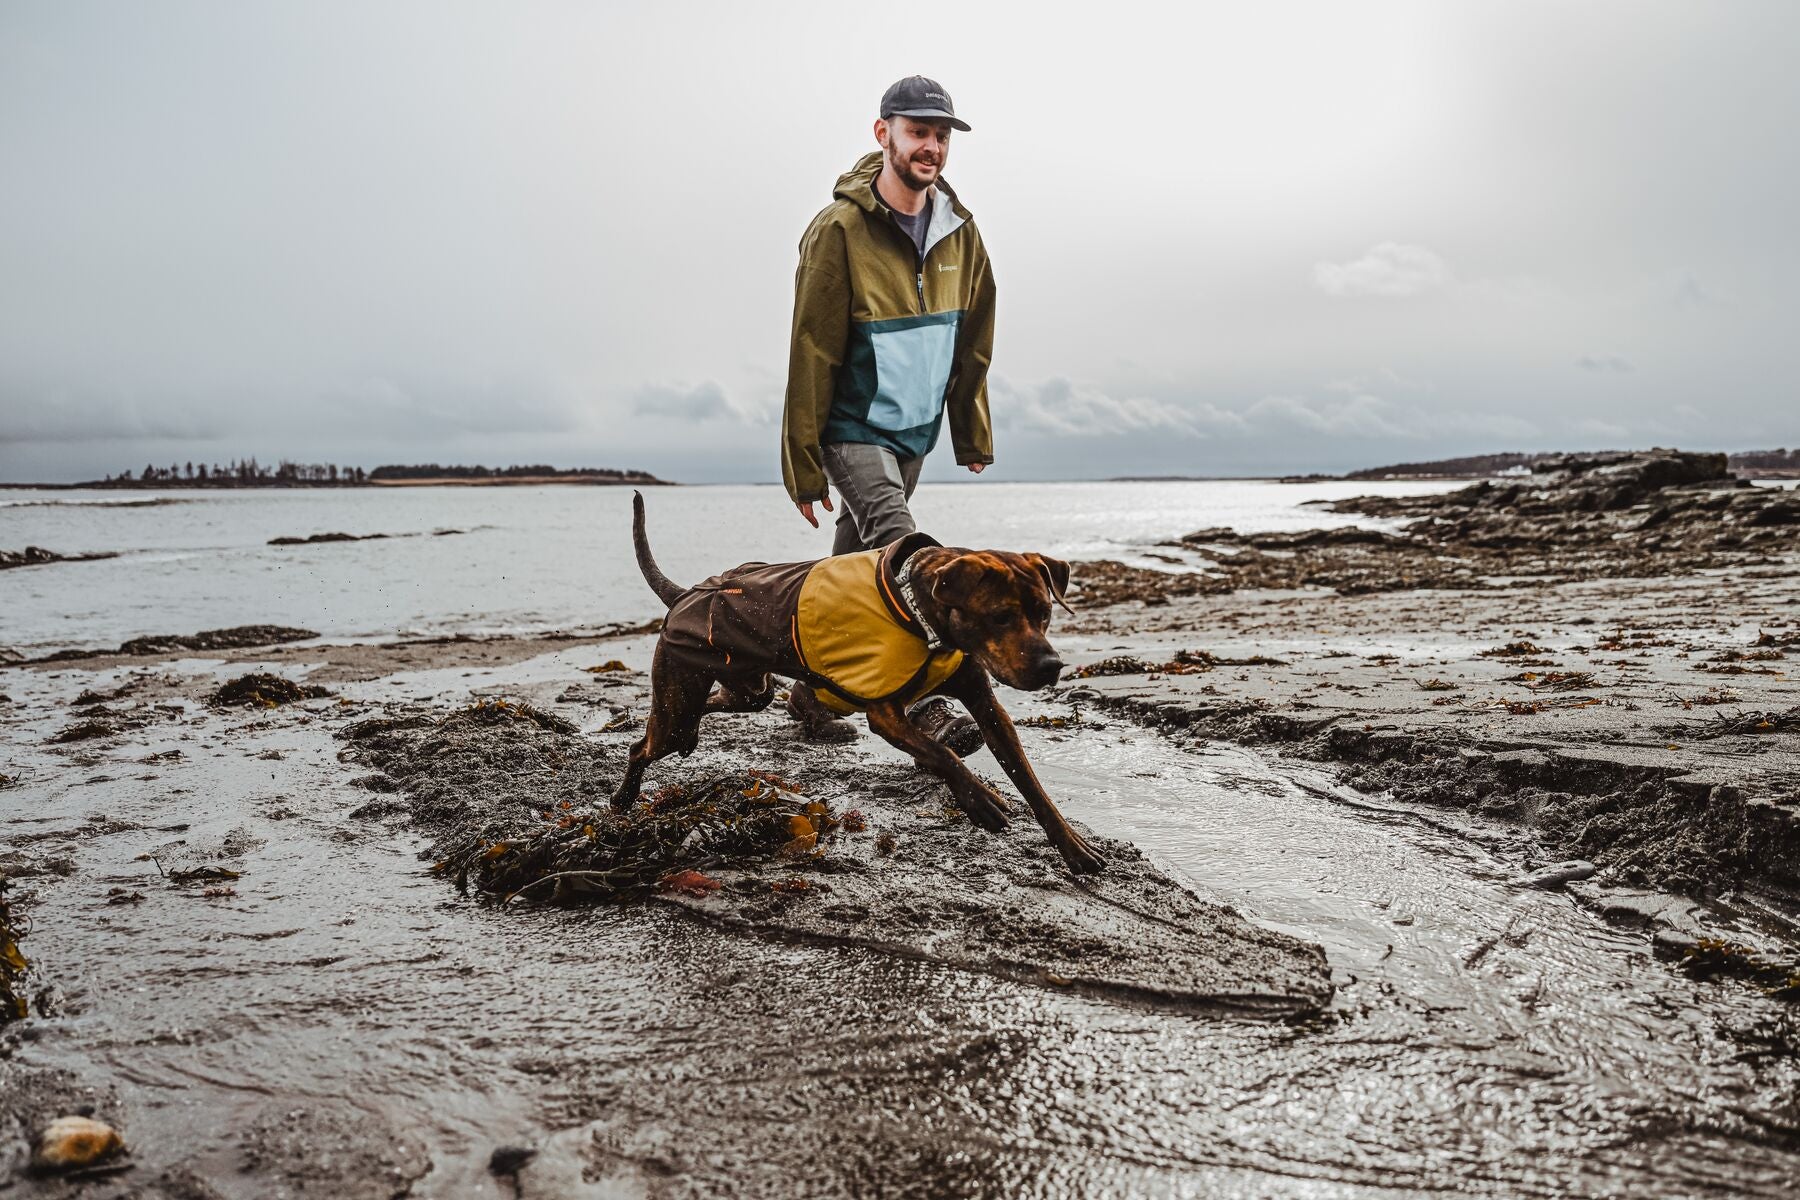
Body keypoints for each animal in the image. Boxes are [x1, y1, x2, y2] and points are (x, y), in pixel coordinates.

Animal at [612, 492, 1101, 877]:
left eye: (1045, 613)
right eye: (999, 616)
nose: (1051, 666)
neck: (919, 612)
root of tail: (685, 594)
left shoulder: (988, 708)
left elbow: (1032, 785)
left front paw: (1073, 848)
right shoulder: (884, 712)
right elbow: (942, 754)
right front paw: (979, 800)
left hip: (746, 691)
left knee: (714, 708)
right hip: (680, 704)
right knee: (643, 745)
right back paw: (623, 797)